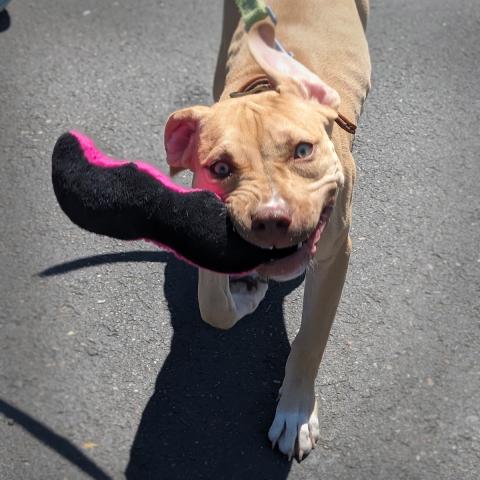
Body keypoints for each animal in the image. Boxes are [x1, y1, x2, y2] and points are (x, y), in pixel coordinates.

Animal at [163, 0, 370, 460]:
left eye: (303, 150)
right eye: (220, 169)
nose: (272, 217)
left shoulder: (335, 255)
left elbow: (310, 342)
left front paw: (296, 414)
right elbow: (213, 308)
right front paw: (245, 296)